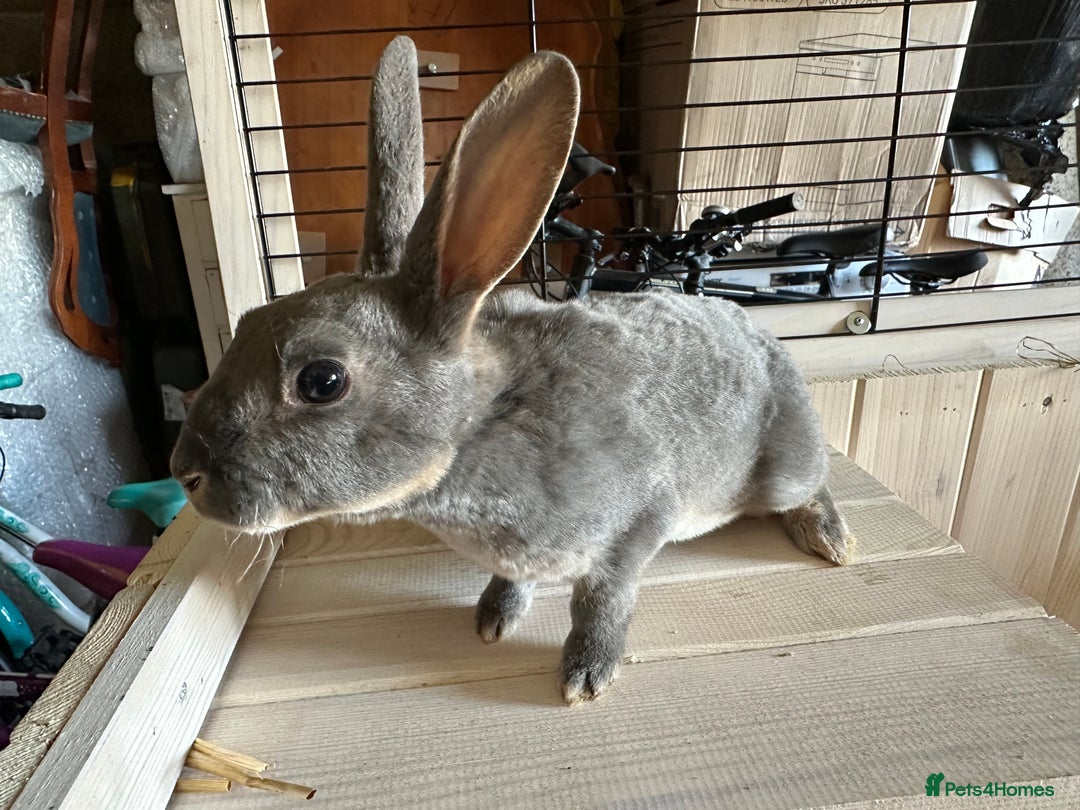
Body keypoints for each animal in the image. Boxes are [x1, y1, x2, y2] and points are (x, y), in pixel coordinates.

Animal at [170, 35, 853, 705]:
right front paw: (494, 617)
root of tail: (760, 336)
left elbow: (604, 599)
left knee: (809, 483)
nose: (186, 473)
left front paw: (585, 675)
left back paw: (830, 539)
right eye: (246, 321)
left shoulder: (637, 524)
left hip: (780, 468)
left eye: (322, 381)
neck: (479, 424)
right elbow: (512, 578)